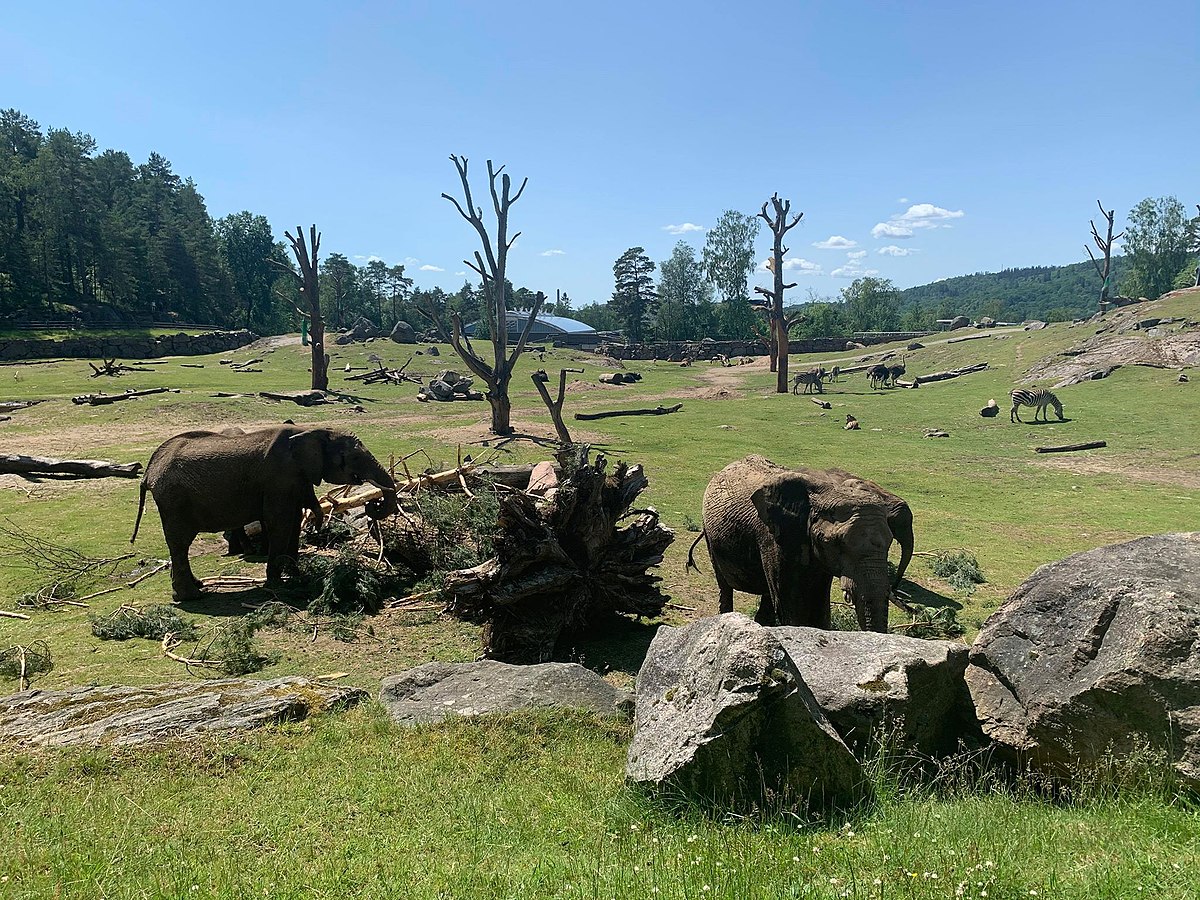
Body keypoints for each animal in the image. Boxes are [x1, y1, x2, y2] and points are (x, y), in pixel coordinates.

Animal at [130, 427, 398, 602]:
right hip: (174, 501)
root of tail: (149, 471)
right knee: (180, 544)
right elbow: (280, 523)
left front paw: (297, 576)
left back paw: (195, 588)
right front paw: (278, 586)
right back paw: (192, 597)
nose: (373, 505)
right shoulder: (279, 480)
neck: (312, 431)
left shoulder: (295, 480)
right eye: (354, 457)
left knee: (178, 546)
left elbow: (293, 522)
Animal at [691, 458, 912, 633]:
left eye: (890, 541)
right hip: (710, 534)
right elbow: (790, 605)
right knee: (725, 585)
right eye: (837, 543)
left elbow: (820, 605)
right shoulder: (774, 538)